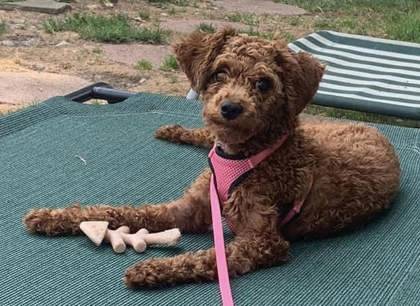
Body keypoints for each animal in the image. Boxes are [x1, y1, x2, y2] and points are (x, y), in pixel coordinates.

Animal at [23, 27, 400, 288]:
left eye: (263, 84)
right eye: (220, 72)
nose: (230, 108)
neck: (242, 156)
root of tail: (377, 132)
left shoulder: (264, 241)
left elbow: (210, 258)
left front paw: (153, 269)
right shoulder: (186, 208)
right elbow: (119, 211)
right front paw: (54, 217)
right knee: (203, 136)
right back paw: (174, 130)